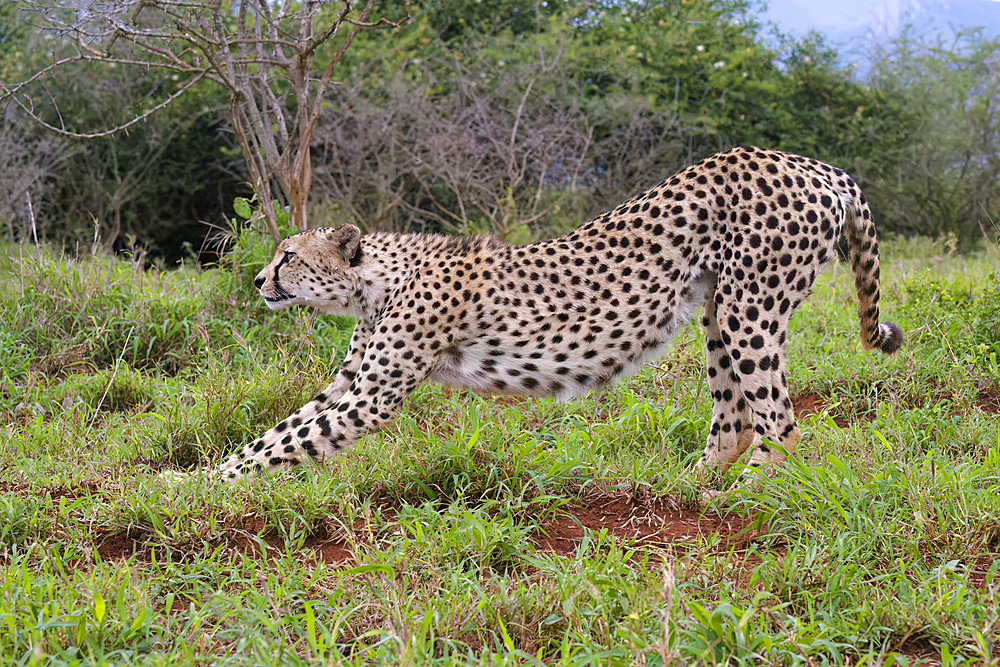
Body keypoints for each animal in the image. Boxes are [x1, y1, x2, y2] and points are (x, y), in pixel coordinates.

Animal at [221, 149, 908, 486]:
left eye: (287, 256)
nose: (257, 280)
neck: (375, 282)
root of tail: (811, 163)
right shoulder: (350, 383)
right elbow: (279, 431)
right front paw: (204, 476)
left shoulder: (373, 395)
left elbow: (289, 442)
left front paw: (210, 487)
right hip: (719, 310)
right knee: (736, 418)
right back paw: (692, 483)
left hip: (751, 309)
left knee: (782, 422)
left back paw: (755, 490)